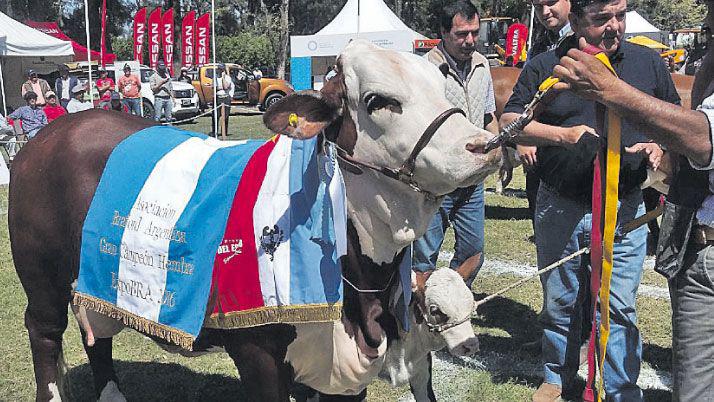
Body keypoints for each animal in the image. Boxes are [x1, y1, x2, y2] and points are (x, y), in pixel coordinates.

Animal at [11, 39, 500, 400]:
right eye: (378, 100)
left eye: (440, 88)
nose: (484, 144)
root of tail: (56, 130)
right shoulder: (258, 356)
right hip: (42, 279)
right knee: (44, 333)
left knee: (97, 335)